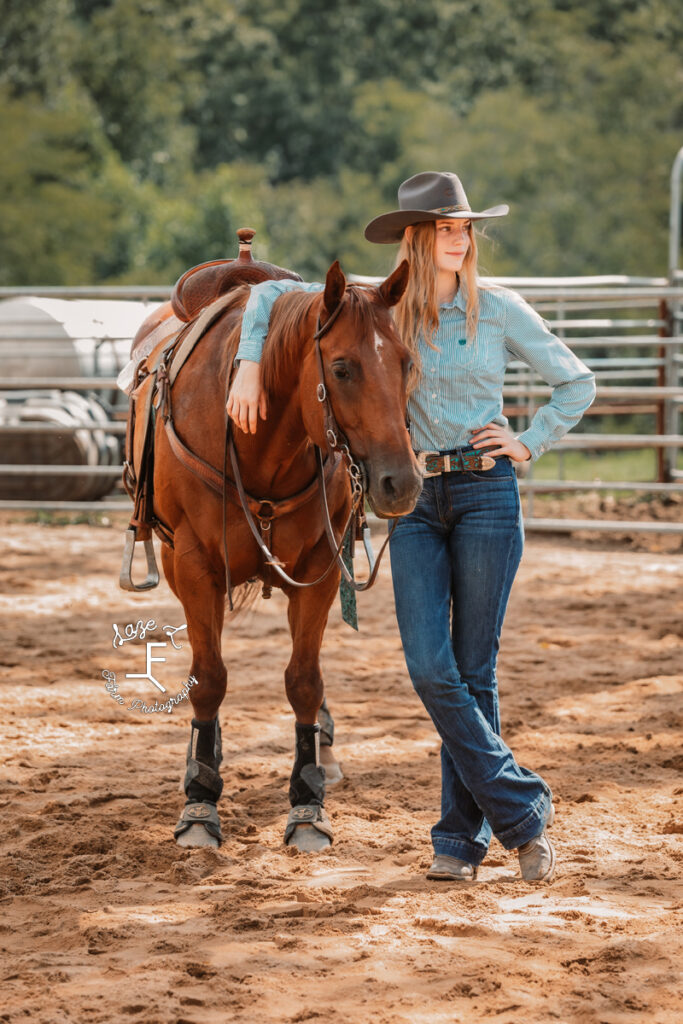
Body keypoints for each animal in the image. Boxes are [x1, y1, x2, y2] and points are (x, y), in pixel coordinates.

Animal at [148, 262, 421, 847]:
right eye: (341, 368)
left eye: (408, 363)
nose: (401, 483)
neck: (259, 438)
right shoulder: (195, 567)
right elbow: (209, 678)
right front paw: (200, 798)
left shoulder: (321, 568)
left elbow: (304, 680)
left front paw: (308, 801)